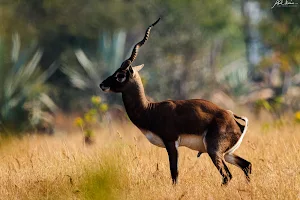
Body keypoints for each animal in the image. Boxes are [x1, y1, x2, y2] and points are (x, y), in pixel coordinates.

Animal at [99, 18, 252, 185]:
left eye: (120, 75)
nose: (102, 84)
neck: (150, 110)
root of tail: (235, 120)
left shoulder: (171, 142)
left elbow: (174, 172)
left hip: (215, 152)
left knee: (227, 175)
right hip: (228, 154)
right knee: (246, 165)